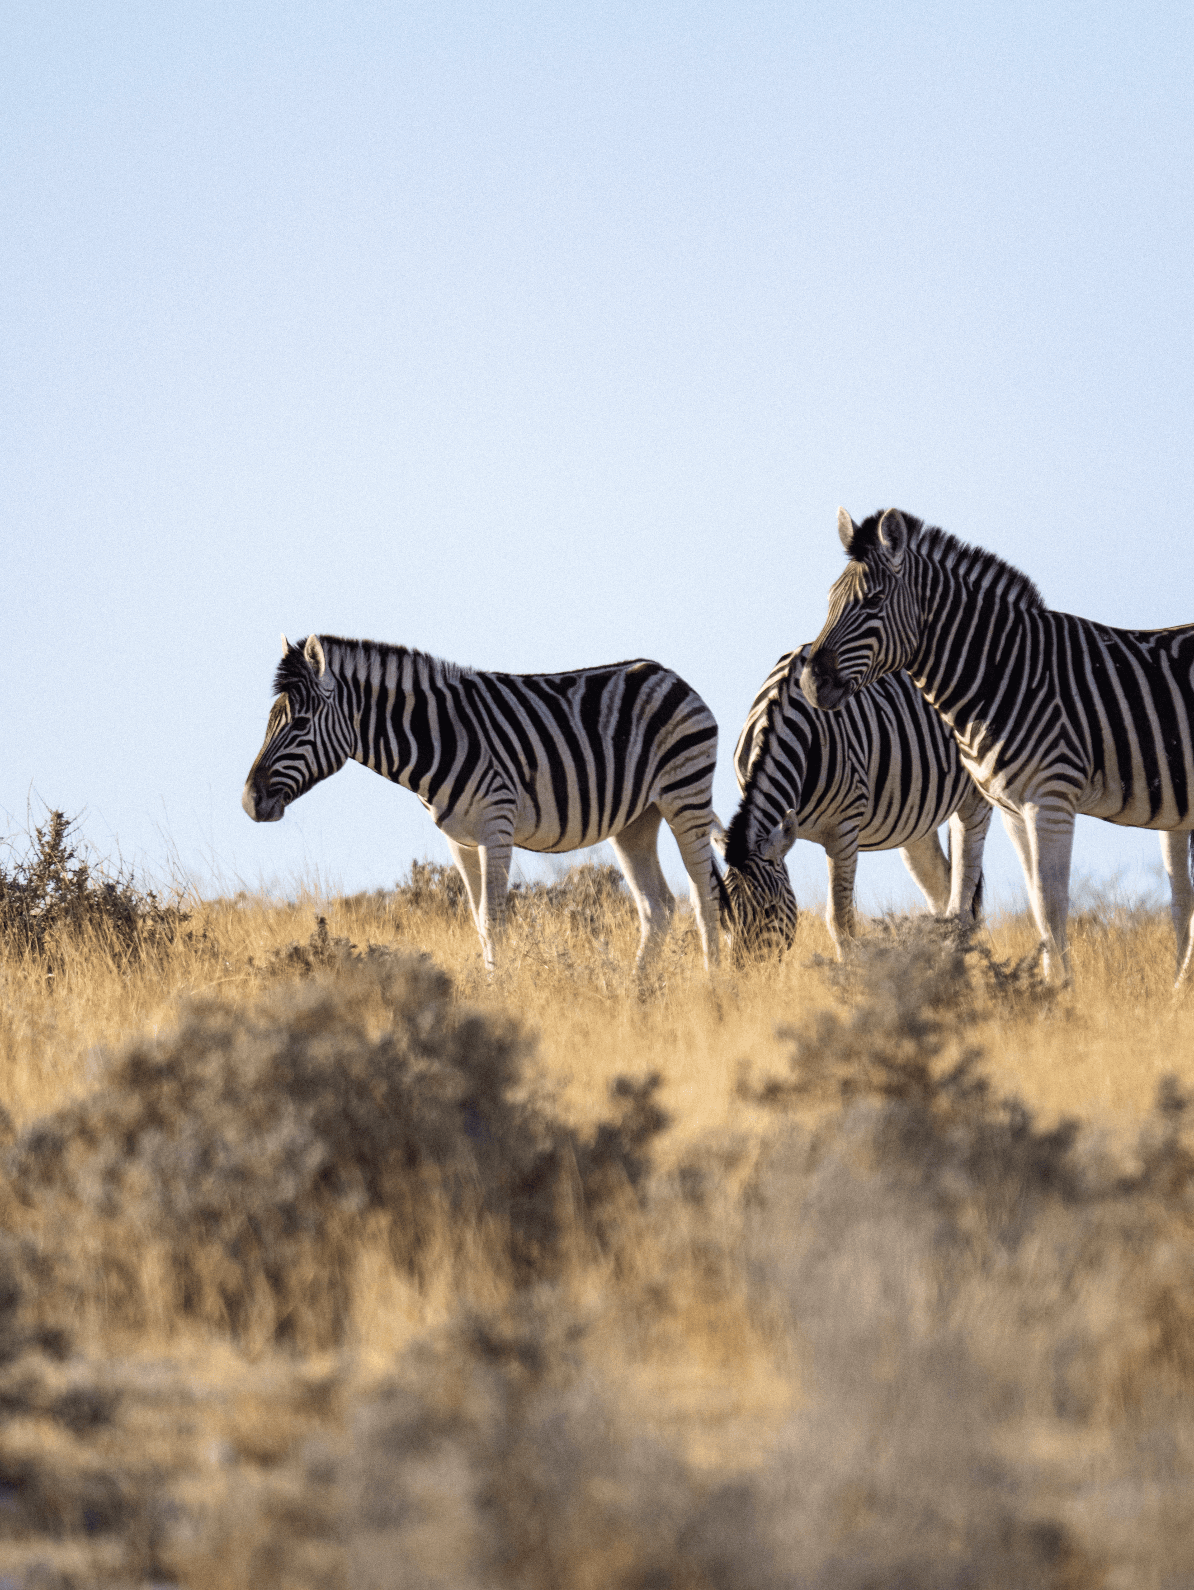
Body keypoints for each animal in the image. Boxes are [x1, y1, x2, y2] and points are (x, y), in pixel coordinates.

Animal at [242, 634, 721, 972]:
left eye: (301, 723)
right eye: (269, 721)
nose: (250, 801)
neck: (436, 736)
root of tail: (669, 675)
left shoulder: (497, 826)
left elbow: (494, 920)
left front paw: (504, 991)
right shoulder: (460, 841)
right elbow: (478, 924)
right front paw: (494, 988)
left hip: (684, 796)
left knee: (705, 895)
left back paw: (713, 986)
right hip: (635, 820)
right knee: (658, 907)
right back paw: (637, 993)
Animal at [711, 645, 991, 957]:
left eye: (770, 910)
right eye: (724, 917)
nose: (744, 970)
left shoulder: (842, 833)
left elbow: (839, 921)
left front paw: (850, 970)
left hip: (975, 796)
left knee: (963, 898)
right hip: (916, 819)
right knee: (941, 892)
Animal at [802, 507, 1194, 986]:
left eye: (873, 602)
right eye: (830, 601)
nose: (811, 683)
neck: (1004, 674)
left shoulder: (1051, 799)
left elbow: (1051, 902)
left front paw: (1060, 990)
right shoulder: (1011, 808)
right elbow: (1032, 905)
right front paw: (1050, 986)